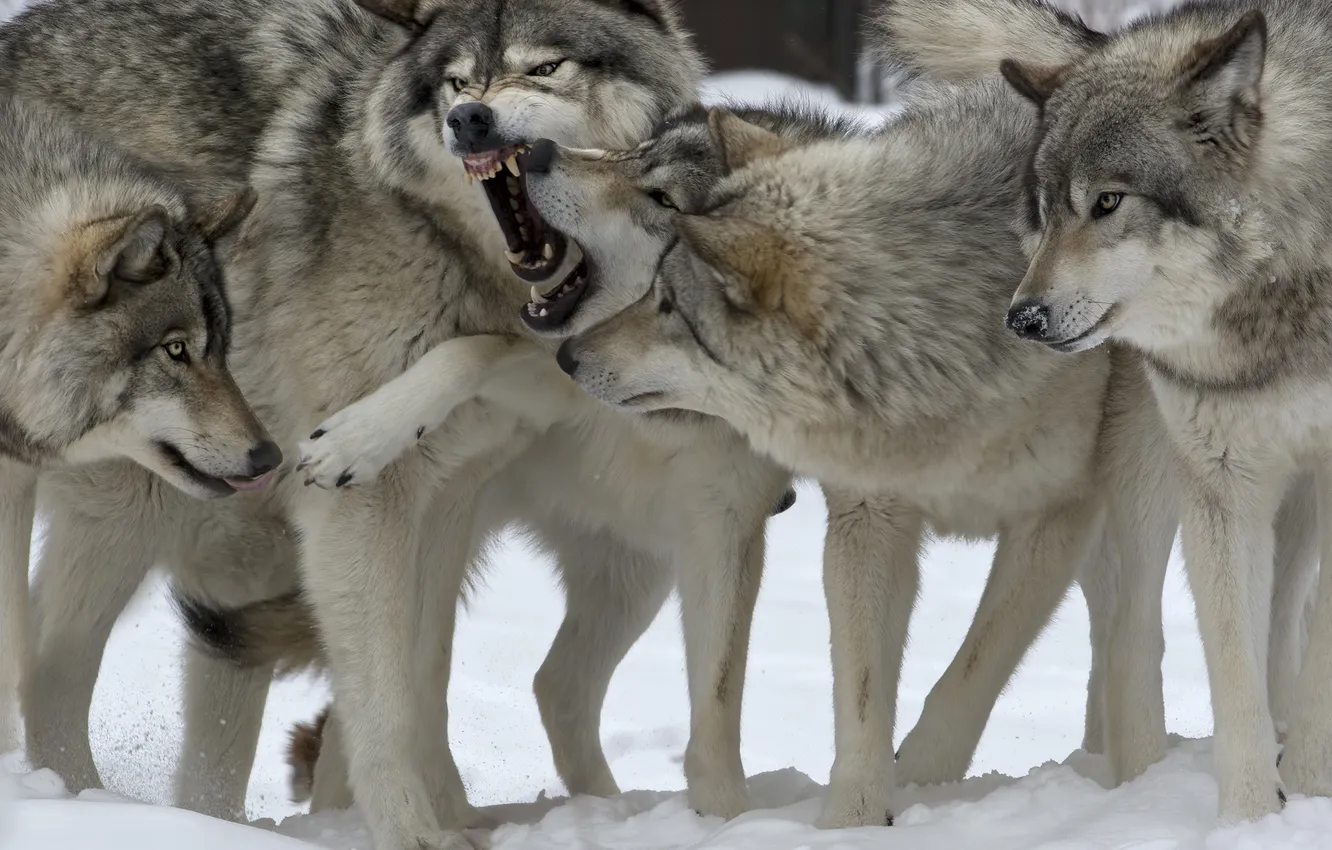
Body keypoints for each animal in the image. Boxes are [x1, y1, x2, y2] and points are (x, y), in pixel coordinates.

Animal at [869, 0, 1332, 824]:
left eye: (1108, 202)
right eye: (1045, 211)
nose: (1022, 318)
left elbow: (1316, 671)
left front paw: (1305, 788)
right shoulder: (1221, 480)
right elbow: (1232, 678)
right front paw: (1251, 820)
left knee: (1282, 621)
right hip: (1146, 462)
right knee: (1134, 630)